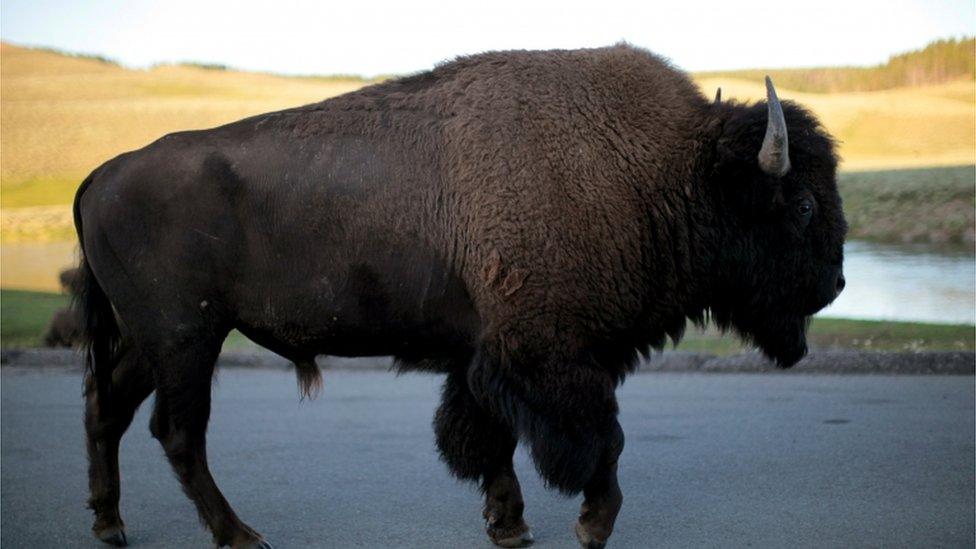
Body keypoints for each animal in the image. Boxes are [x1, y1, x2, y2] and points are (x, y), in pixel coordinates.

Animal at [74, 45, 848, 544]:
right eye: (805, 204)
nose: (837, 282)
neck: (661, 172)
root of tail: (100, 176)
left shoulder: (482, 357)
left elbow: (486, 439)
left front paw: (510, 526)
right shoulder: (550, 356)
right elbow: (600, 439)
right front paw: (591, 523)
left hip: (151, 342)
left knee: (109, 410)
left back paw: (111, 523)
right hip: (187, 340)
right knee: (178, 433)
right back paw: (239, 535)